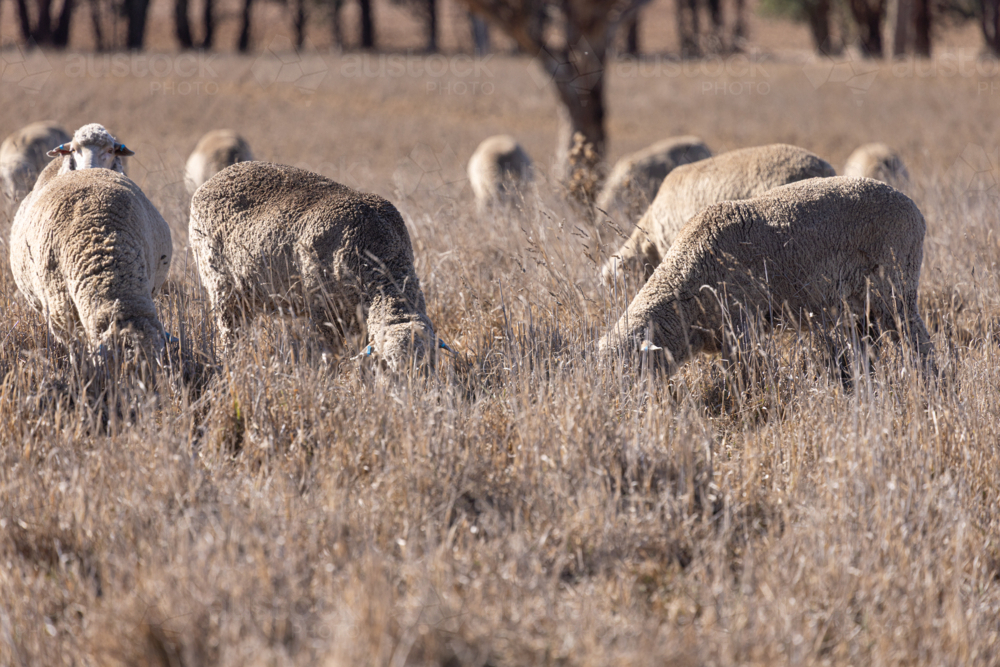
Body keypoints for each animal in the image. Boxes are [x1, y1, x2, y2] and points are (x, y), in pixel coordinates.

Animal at [189, 161, 441, 371]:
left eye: (431, 364)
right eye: (391, 364)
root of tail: (215, 178)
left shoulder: (356, 316)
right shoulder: (322, 308)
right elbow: (330, 354)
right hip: (221, 286)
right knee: (229, 333)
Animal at [599, 176, 935, 377]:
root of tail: (914, 209)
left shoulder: (741, 326)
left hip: (895, 288)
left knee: (917, 341)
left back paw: (929, 380)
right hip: (861, 304)